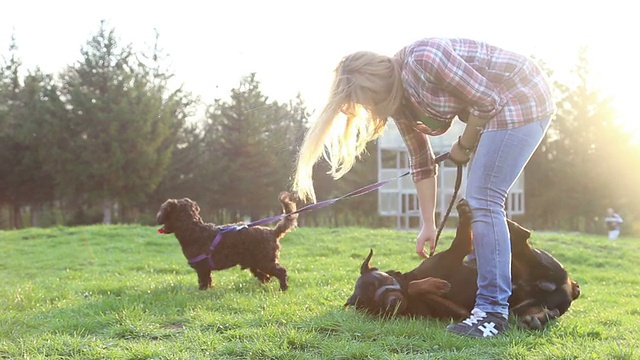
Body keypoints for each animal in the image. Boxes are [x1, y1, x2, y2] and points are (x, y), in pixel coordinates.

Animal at [155, 191, 298, 290]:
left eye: (162, 210)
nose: (157, 218)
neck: (193, 229)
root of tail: (273, 232)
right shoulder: (205, 269)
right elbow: (208, 280)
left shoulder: (202, 268)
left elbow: (203, 281)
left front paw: (201, 291)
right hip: (256, 263)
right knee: (266, 276)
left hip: (265, 261)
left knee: (281, 272)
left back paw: (283, 288)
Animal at [344, 200, 580, 330]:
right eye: (373, 306)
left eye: (378, 282)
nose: (390, 302)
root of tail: (570, 285)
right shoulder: (455, 311)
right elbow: (416, 288)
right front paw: (431, 285)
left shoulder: (451, 255)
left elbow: (460, 240)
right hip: (524, 308)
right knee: (545, 311)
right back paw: (536, 319)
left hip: (540, 263)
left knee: (523, 245)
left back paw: (512, 228)